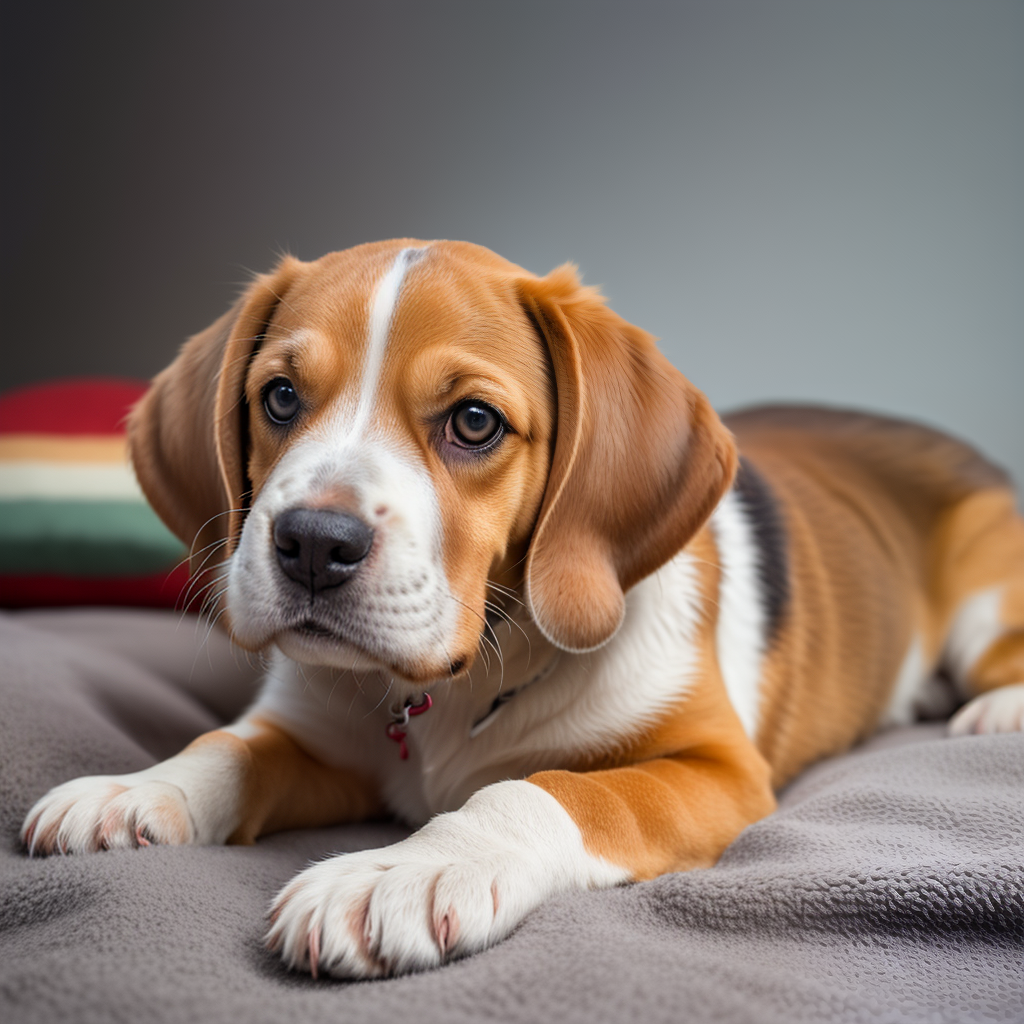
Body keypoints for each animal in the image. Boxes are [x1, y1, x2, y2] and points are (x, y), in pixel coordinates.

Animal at [22, 235, 1024, 978]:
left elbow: (551, 788)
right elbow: (228, 747)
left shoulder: (718, 770)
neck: (455, 687)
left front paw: (410, 868)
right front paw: (138, 790)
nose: (309, 543)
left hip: (983, 597)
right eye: (278, 397)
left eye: (474, 422)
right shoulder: (317, 735)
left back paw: (993, 710)